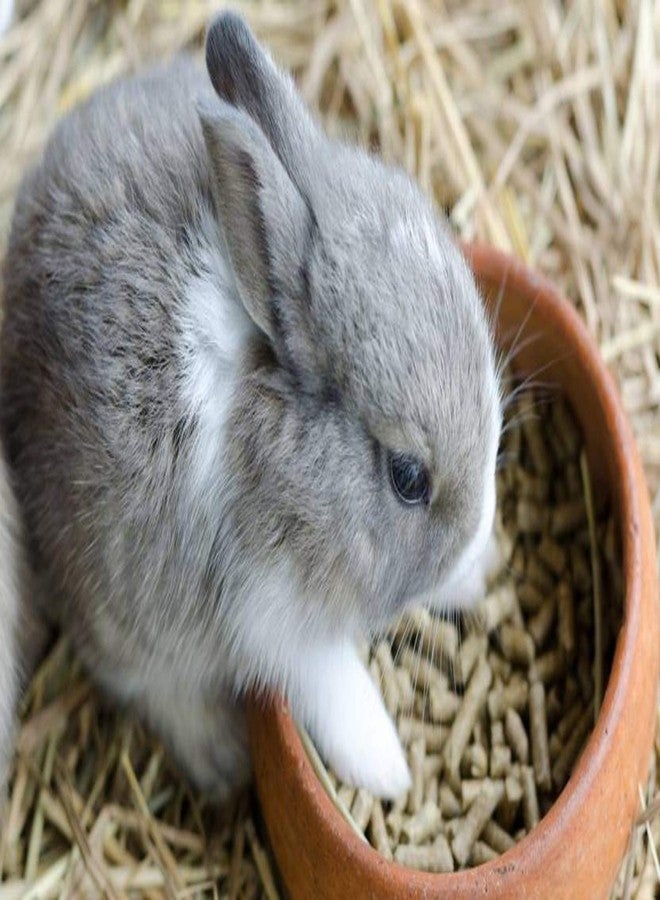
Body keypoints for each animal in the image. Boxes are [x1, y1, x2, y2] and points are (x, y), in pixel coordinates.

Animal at [0, 11, 502, 800]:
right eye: (408, 478)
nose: (483, 542)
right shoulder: (271, 617)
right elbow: (331, 686)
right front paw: (389, 772)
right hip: (120, 615)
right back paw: (223, 759)